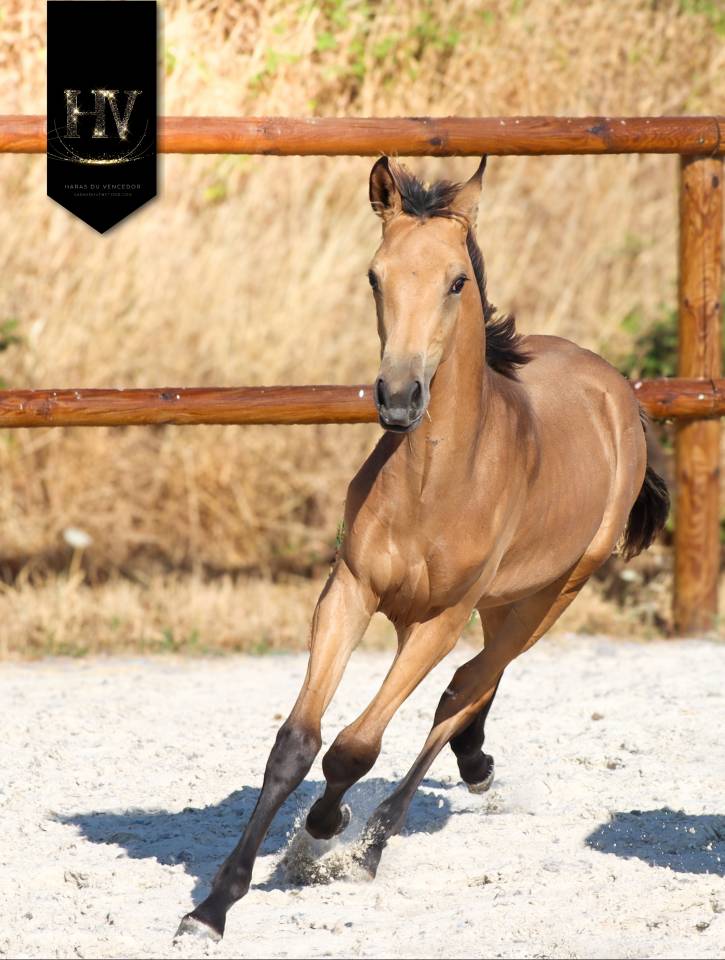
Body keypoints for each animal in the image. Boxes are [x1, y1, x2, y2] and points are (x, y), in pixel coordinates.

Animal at [178, 155, 669, 940]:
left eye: (456, 281)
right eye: (374, 275)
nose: (400, 397)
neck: (435, 483)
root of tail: (615, 389)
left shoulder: (437, 620)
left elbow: (357, 744)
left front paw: (324, 835)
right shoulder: (348, 592)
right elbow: (297, 742)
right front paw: (215, 903)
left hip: (554, 592)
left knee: (461, 692)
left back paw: (382, 837)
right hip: (503, 601)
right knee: (477, 683)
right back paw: (473, 765)